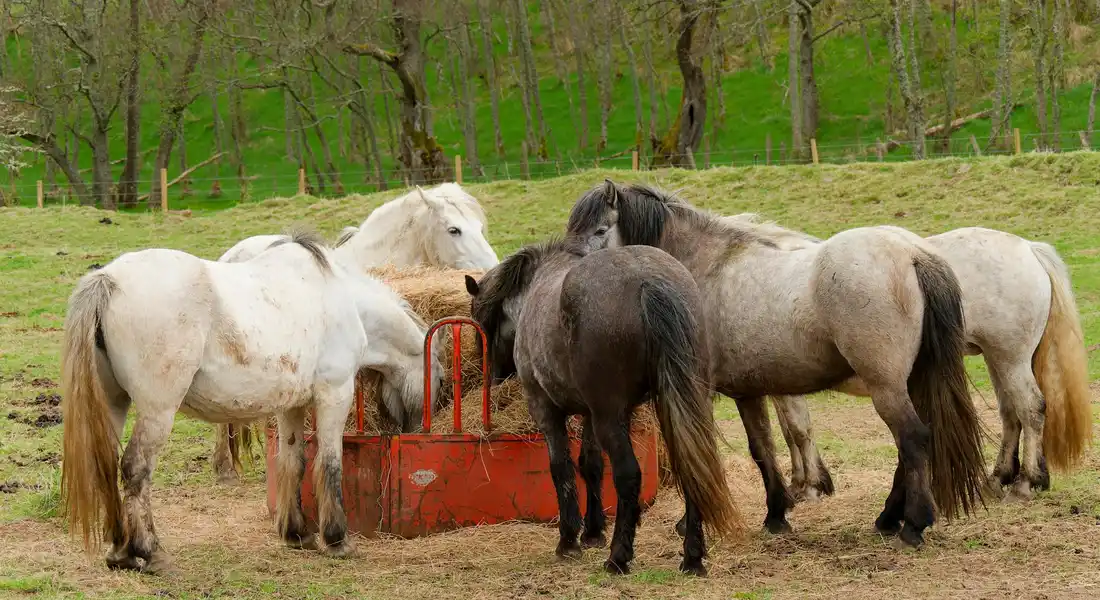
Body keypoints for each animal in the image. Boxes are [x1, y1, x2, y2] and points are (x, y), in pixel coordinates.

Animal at [60, 231, 443, 574]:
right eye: (440, 380)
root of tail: (108, 279)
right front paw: (337, 540)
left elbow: (293, 461)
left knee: (107, 466)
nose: (416, 430)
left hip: (114, 404)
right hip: (158, 411)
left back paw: (118, 551)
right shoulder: (334, 393)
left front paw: (296, 533)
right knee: (136, 468)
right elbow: (330, 464)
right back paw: (147, 552)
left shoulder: (292, 406)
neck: (344, 301)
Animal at [464, 236, 741, 576]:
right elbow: (590, 465)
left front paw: (569, 540)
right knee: (693, 466)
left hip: (611, 418)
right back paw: (692, 558)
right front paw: (593, 531)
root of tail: (649, 280)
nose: (492, 379)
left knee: (628, 475)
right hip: (678, 409)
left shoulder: (547, 409)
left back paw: (618, 557)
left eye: (481, 326)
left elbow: (561, 468)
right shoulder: (590, 414)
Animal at [566, 180, 989, 548]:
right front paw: (776, 514)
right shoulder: (747, 392)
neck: (705, 267)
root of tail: (913, 253)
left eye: (601, 229)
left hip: (885, 385)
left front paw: (691, 521)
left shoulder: (698, 390)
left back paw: (912, 525)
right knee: (909, 445)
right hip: (907, 382)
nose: (571, 281)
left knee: (913, 440)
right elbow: (762, 448)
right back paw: (888, 518)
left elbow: (698, 449)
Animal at [718, 218, 1093, 503]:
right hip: (999, 360)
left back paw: (1025, 482)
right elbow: (790, 430)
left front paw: (810, 486)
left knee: (1031, 408)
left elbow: (797, 429)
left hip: (1009, 358)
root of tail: (1029, 248)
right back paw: (1002, 477)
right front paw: (806, 482)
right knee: (1011, 414)